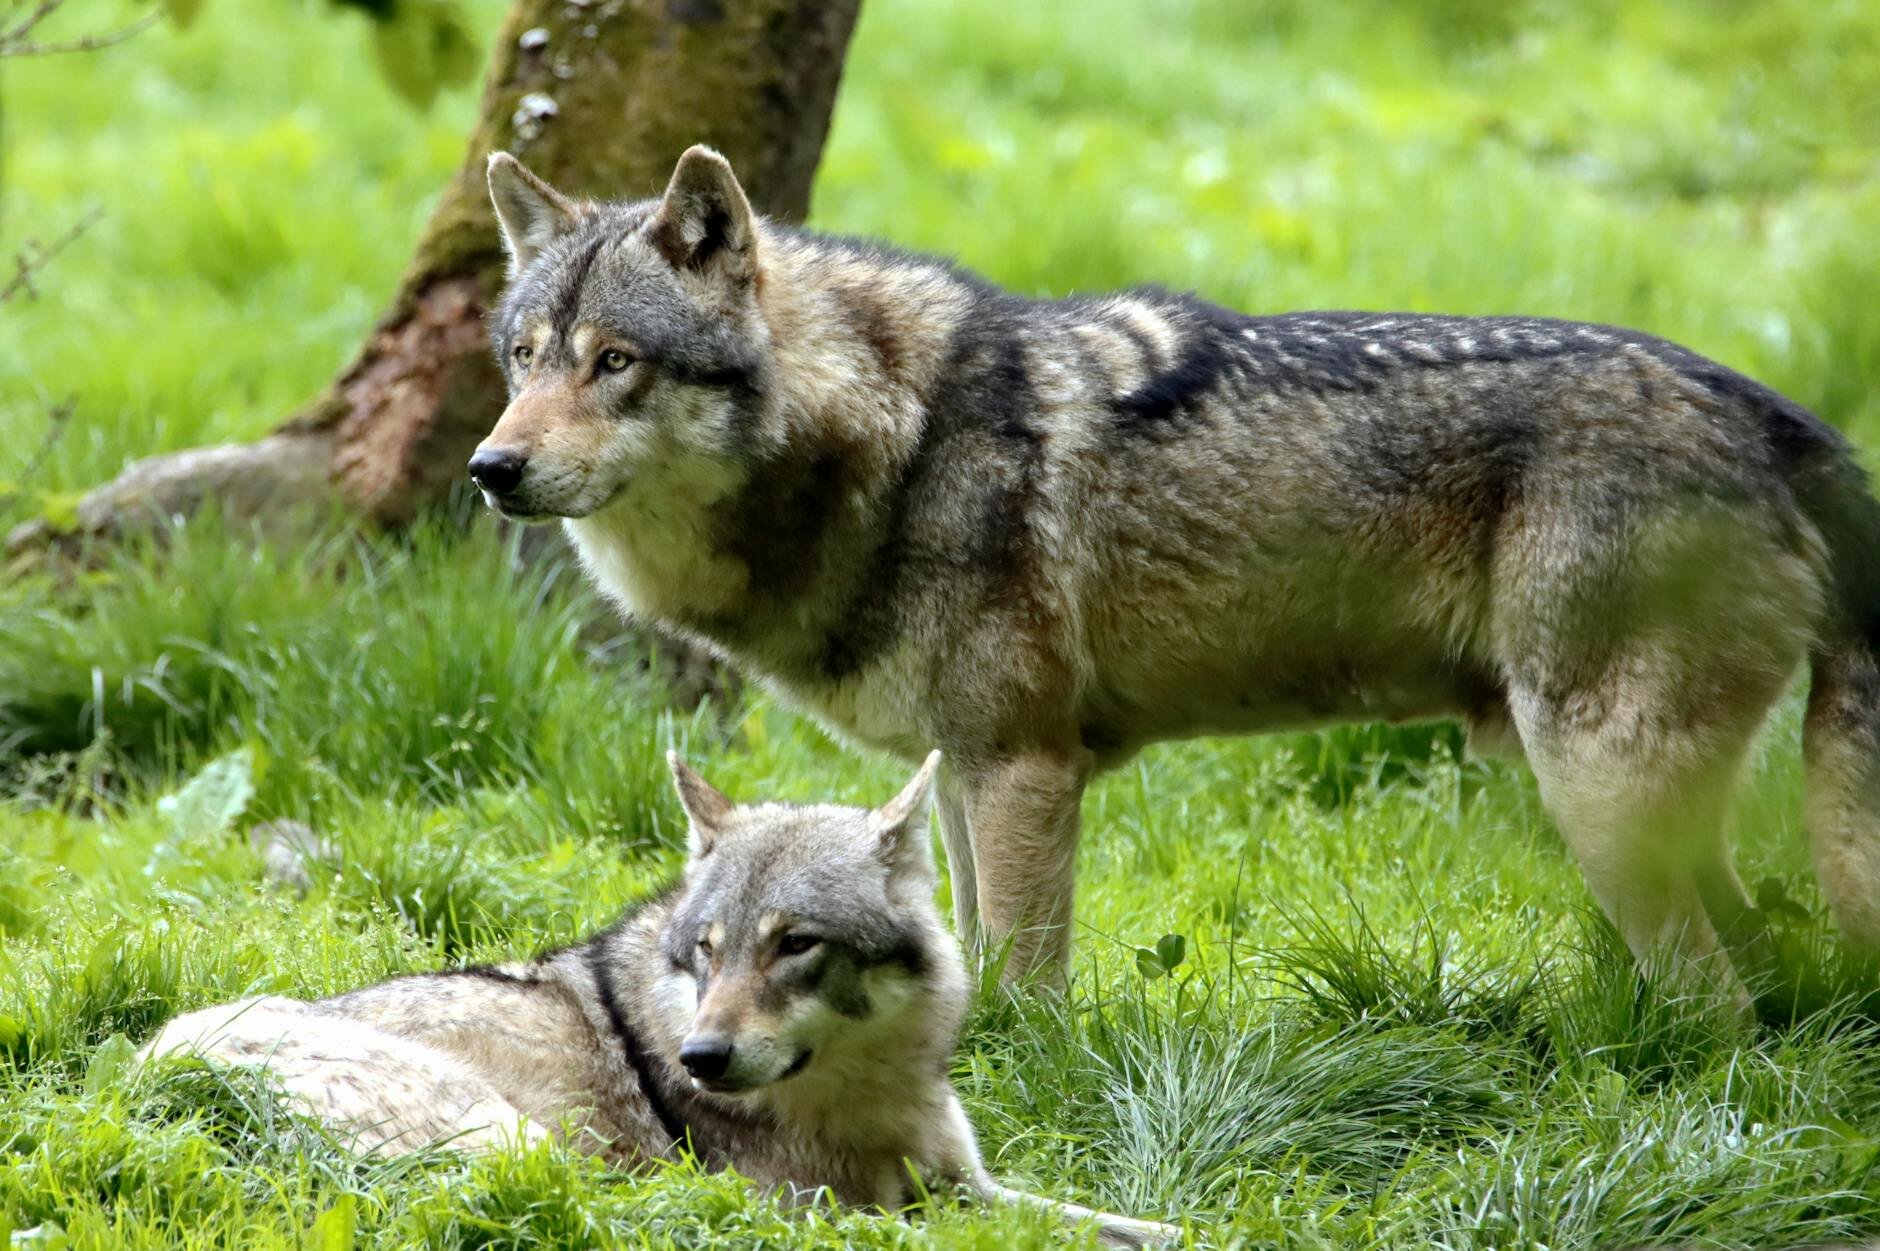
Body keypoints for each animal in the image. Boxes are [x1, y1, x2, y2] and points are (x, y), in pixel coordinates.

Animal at [138, 753, 1176, 1247]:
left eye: (794, 944)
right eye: (707, 951)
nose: (700, 1059)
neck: (857, 1099)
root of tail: (150, 1076)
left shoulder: (967, 1182)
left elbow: (1148, 1227)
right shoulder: (848, 1210)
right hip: (528, 1151)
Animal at [470, 144, 1880, 1006]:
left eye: (613, 362)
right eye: (524, 356)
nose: (489, 467)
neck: (896, 439)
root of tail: (1775, 413)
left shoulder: (1022, 770)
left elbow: (1021, 984)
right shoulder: (967, 775)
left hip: (1598, 798)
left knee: (1716, 1003)